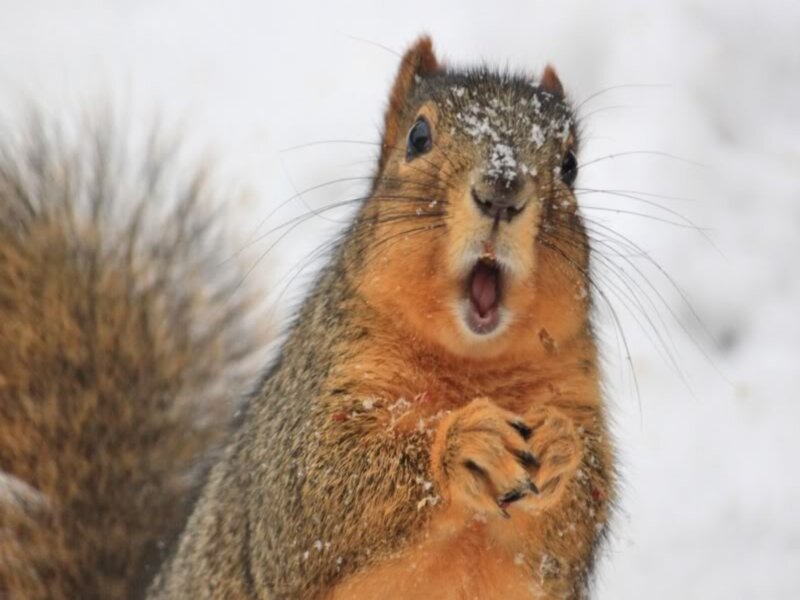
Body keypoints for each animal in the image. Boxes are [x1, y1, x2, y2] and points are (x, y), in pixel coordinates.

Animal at [1, 36, 614, 600]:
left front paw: (562, 448)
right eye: (418, 137)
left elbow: (579, 519)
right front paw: (464, 442)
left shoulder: (576, 398)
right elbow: (319, 485)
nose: (502, 191)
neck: (472, 364)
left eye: (570, 165)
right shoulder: (309, 405)